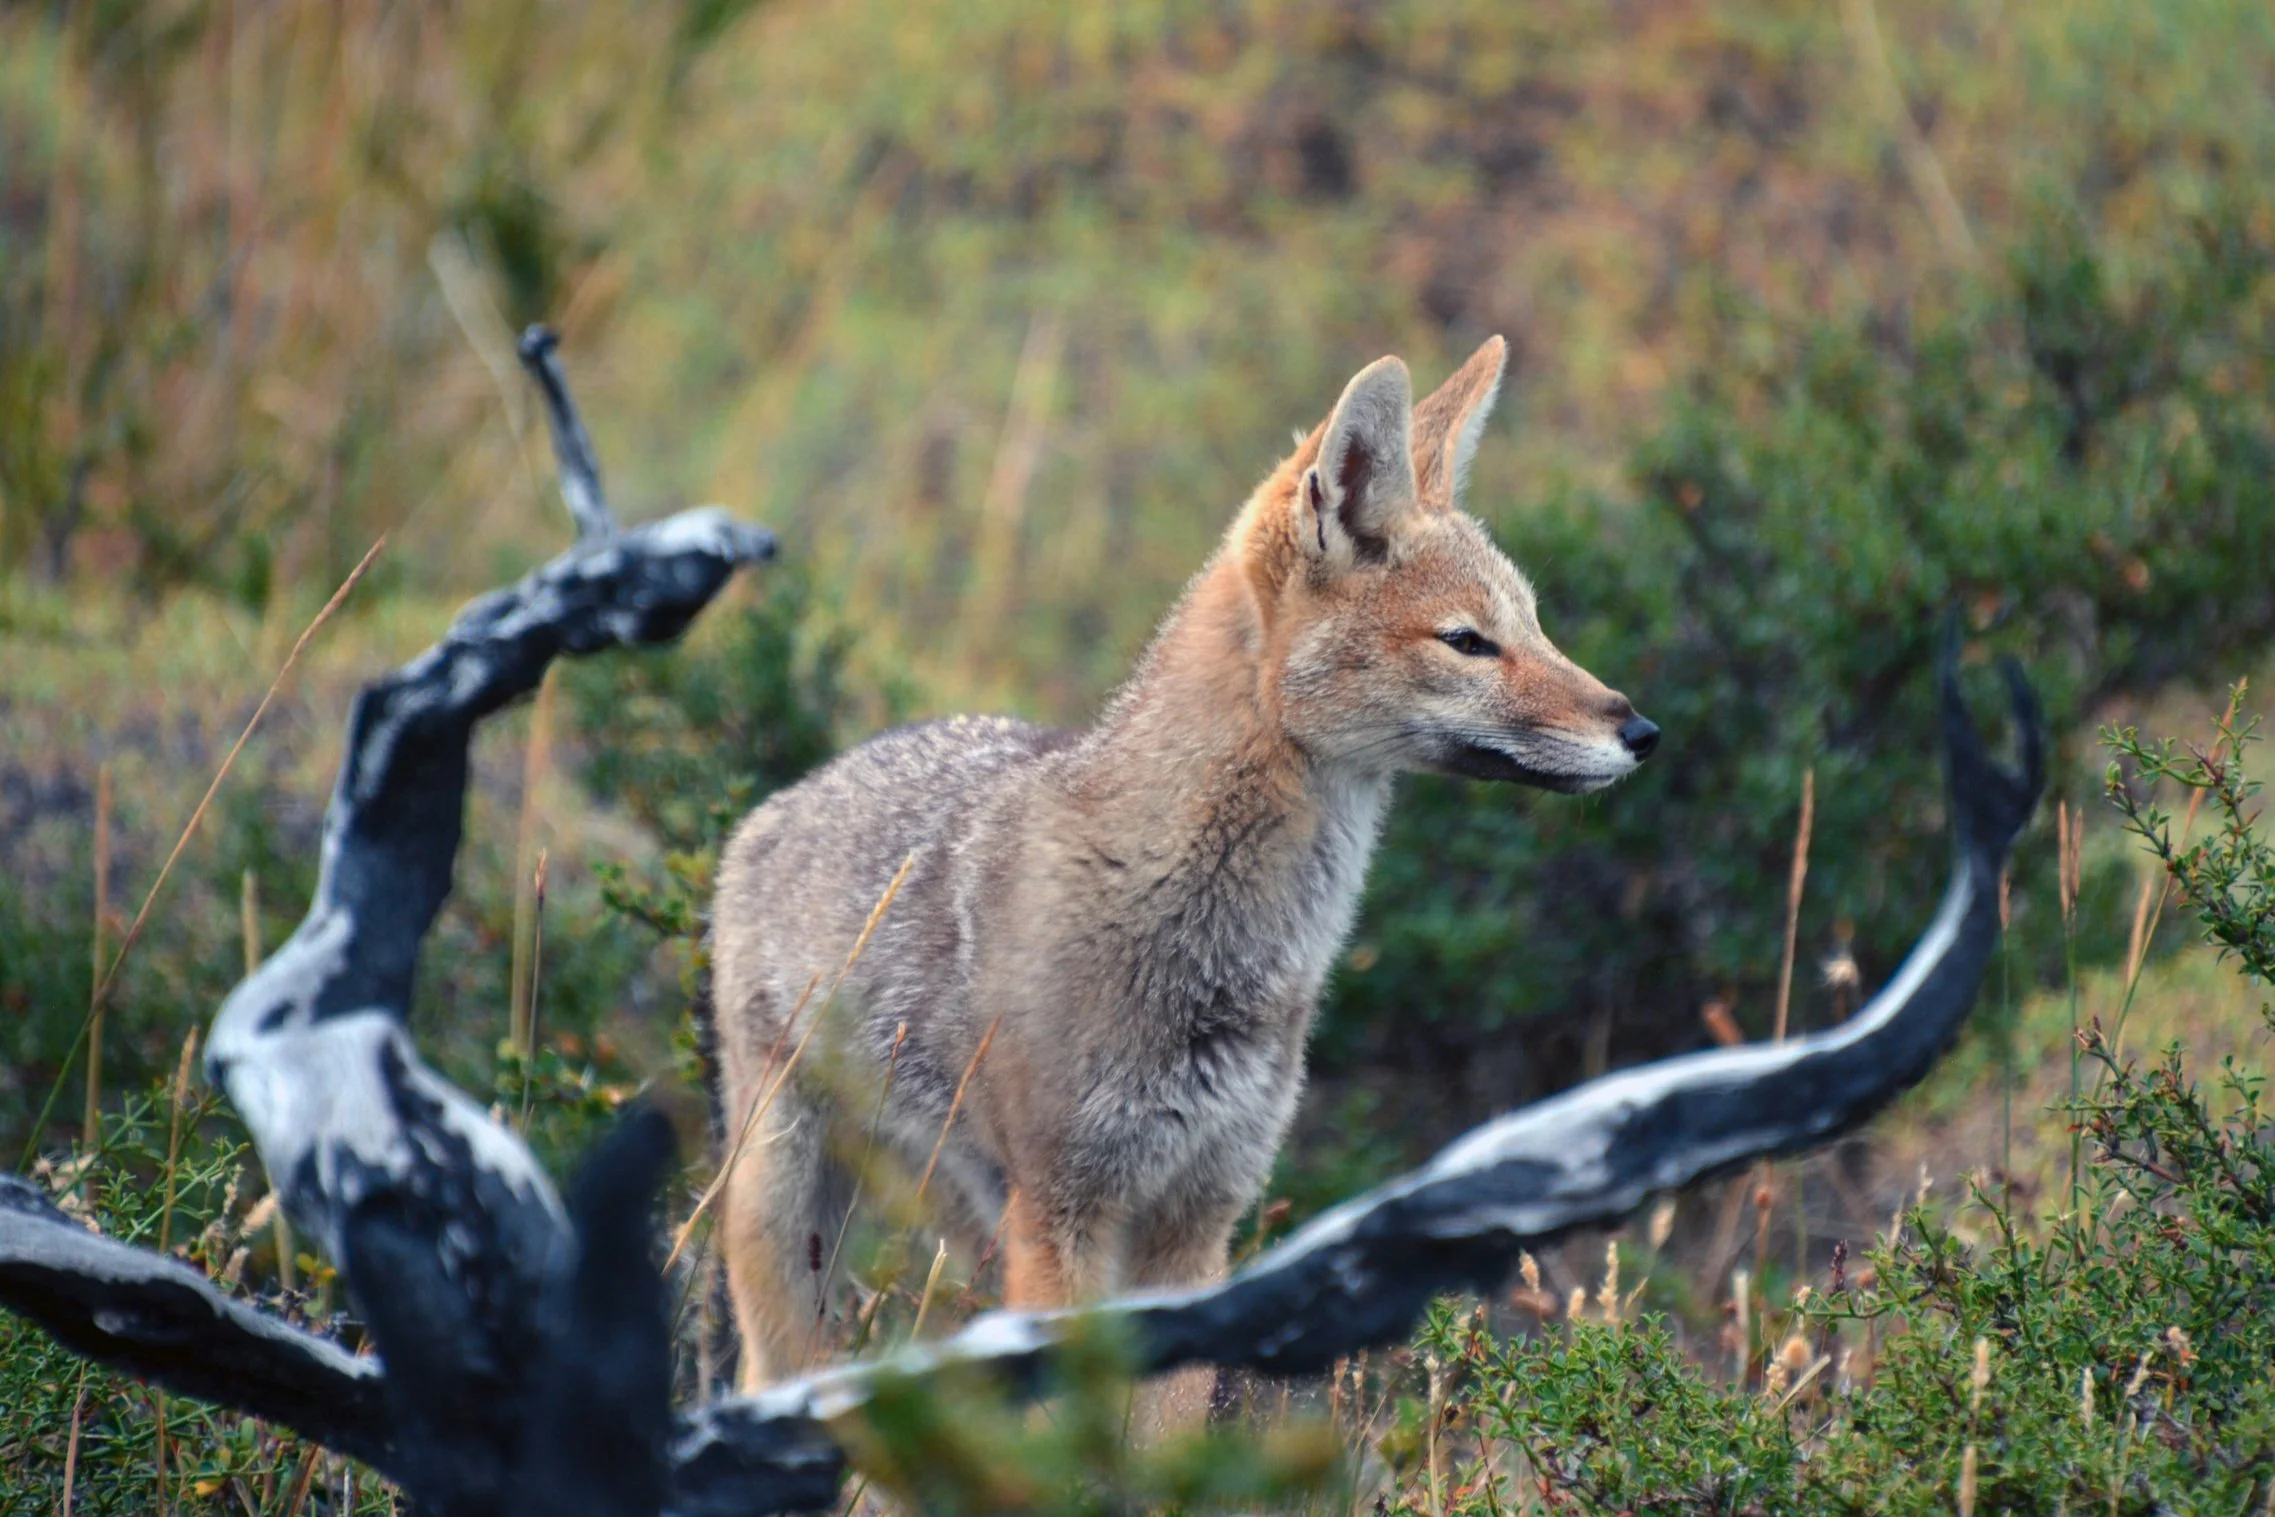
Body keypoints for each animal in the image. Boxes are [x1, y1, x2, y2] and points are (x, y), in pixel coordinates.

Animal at [707, 336, 1658, 1395]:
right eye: (1467, 642)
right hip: (791, 1221)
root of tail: (780, 802)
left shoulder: (1198, 1217)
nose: (1642, 732)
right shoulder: (1066, 1216)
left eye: (1535, 626)